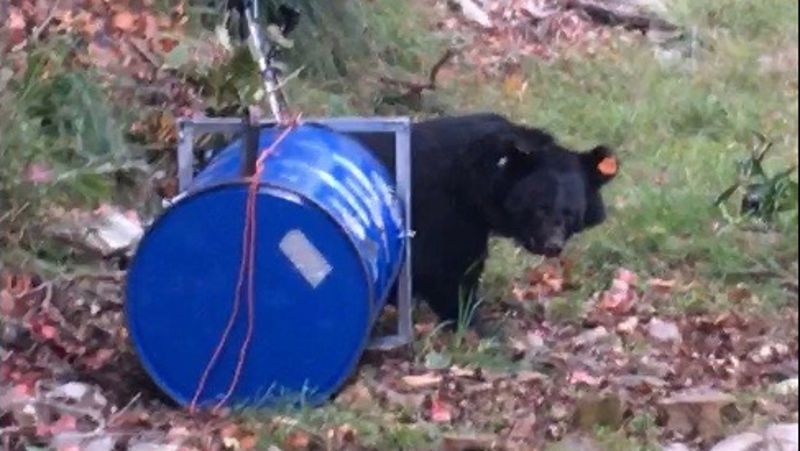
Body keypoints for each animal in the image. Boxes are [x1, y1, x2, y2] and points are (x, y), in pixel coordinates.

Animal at [358, 113, 619, 324]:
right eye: (540, 208)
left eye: (570, 213)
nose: (552, 245)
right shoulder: (441, 209)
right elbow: (443, 268)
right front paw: (474, 323)